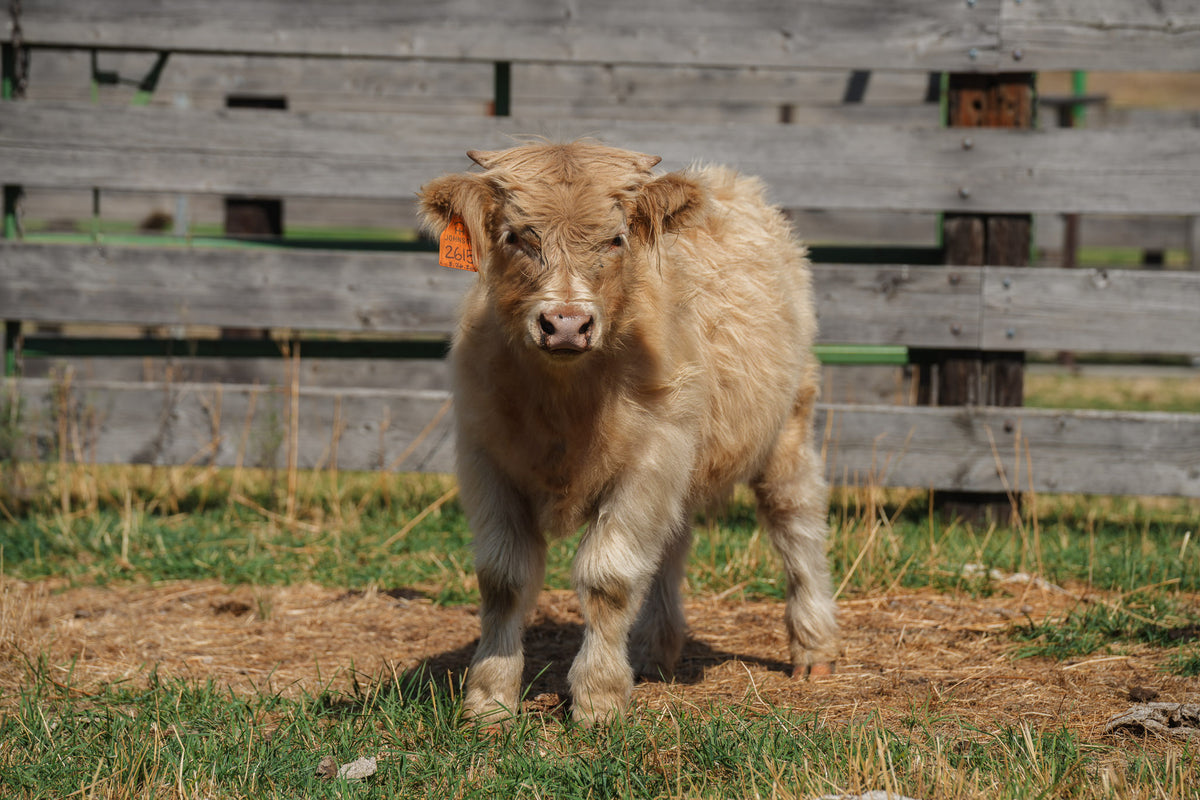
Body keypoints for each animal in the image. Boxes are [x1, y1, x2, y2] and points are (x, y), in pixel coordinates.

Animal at [418, 140, 838, 726]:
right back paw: (653, 650)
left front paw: (598, 699)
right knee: (671, 543)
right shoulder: (486, 459)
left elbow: (608, 578)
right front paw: (489, 699)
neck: (566, 406)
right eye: (516, 236)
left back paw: (813, 646)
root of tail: (729, 181)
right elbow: (503, 579)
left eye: (616, 239)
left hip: (789, 426)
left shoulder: (647, 461)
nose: (566, 324)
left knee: (796, 521)